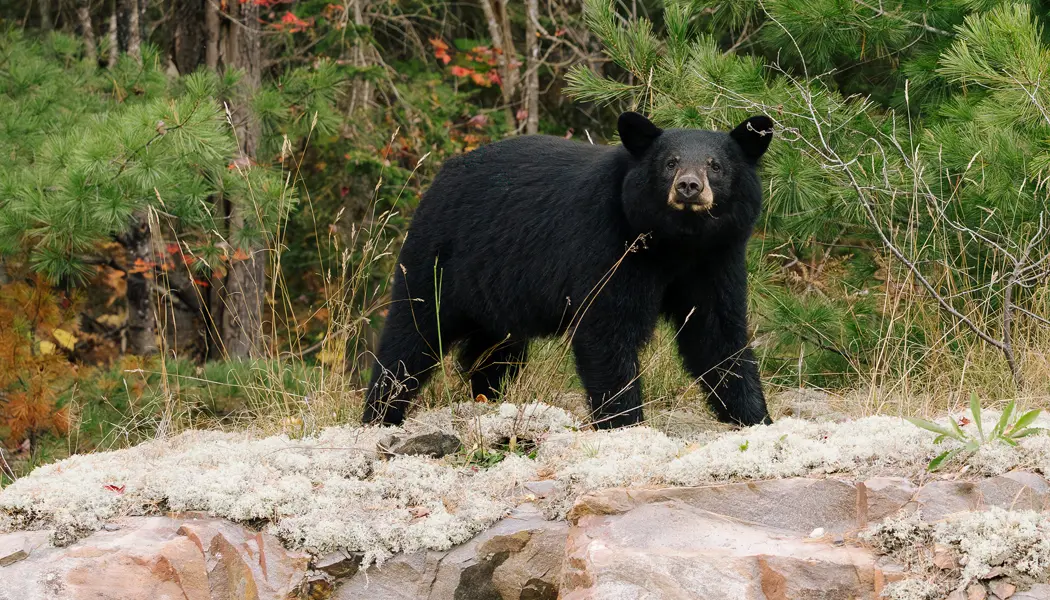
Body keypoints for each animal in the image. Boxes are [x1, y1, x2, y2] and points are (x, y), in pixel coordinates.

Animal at [362, 111, 773, 429]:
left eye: (715, 165)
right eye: (670, 162)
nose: (689, 186)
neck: (676, 242)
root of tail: (438, 178)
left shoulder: (716, 258)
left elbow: (716, 333)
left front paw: (755, 417)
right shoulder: (608, 243)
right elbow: (607, 330)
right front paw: (625, 423)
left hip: (494, 295)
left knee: (494, 353)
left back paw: (487, 399)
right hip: (437, 261)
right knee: (411, 336)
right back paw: (381, 414)